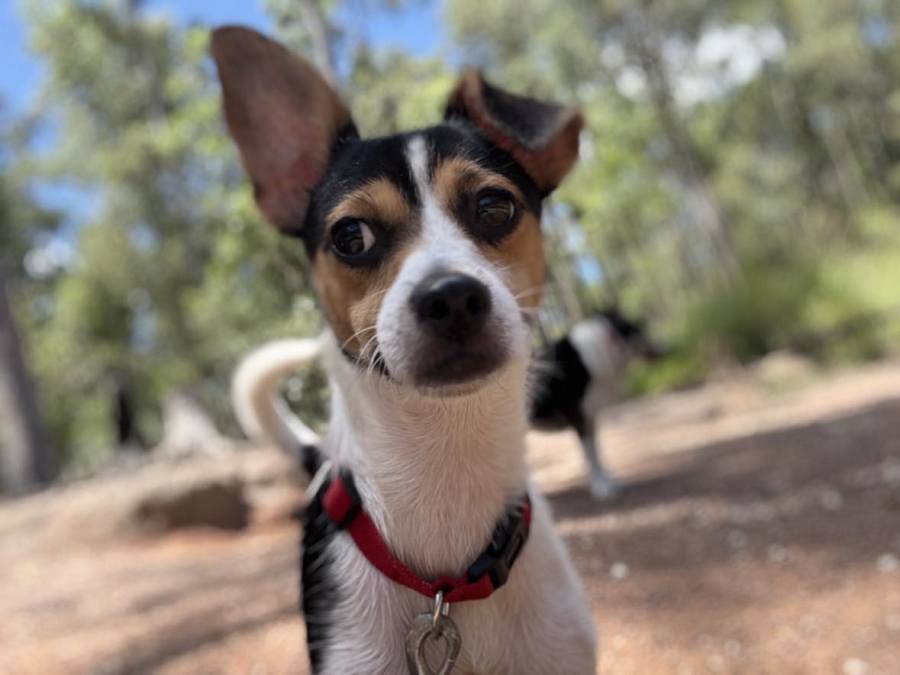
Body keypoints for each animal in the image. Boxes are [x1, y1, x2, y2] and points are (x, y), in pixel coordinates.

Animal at [530, 308, 661, 499]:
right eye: (640, 331)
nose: (667, 346)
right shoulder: (579, 420)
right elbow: (590, 455)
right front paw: (602, 487)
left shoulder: (591, 419)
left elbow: (597, 454)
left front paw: (607, 480)